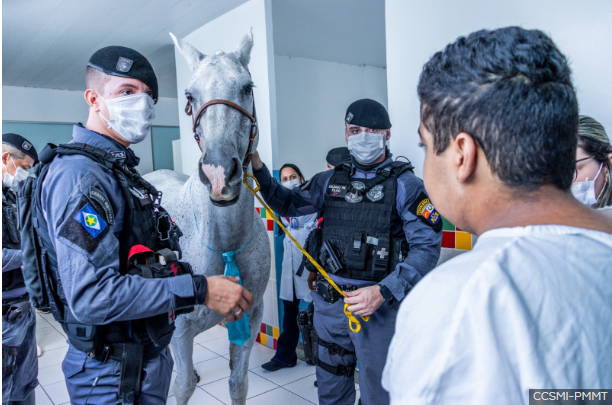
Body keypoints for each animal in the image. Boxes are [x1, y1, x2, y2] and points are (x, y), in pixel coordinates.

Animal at [145, 30, 272, 402]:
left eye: (247, 87)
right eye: (189, 95)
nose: (218, 174)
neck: (223, 240)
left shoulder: (251, 316)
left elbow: (238, 384)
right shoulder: (181, 329)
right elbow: (183, 385)